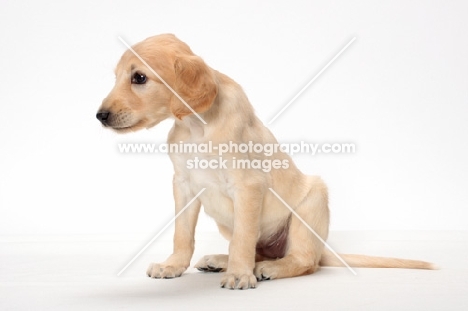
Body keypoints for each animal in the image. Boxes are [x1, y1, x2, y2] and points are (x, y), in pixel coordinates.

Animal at [96, 34, 436, 290]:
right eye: (116, 77)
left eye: (139, 77)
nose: (100, 116)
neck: (196, 126)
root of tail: (321, 250)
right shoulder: (184, 184)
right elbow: (183, 234)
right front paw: (174, 265)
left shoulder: (248, 186)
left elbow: (244, 238)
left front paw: (239, 274)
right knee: (258, 252)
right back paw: (221, 261)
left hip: (311, 203)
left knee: (304, 261)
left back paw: (267, 268)